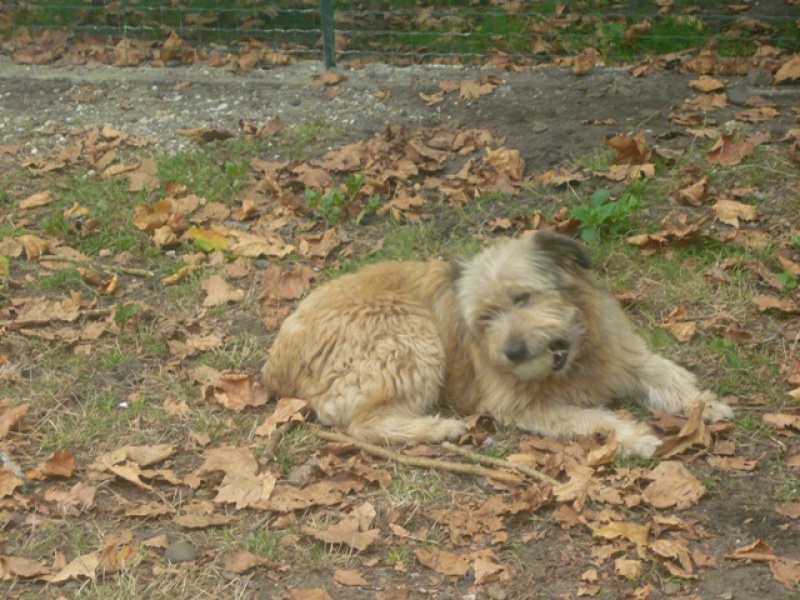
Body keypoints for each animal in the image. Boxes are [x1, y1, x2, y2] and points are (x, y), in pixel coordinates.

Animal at [262, 232, 732, 458]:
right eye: (485, 318)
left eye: (522, 298)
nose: (514, 353)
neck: (574, 357)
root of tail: (275, 363)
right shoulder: (522, 406)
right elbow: (594, 418)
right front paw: (636, 437)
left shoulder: (625, 356)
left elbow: (664, 372)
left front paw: (705, 404)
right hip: (408, 332)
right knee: (364, 424)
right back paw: (440, 428)